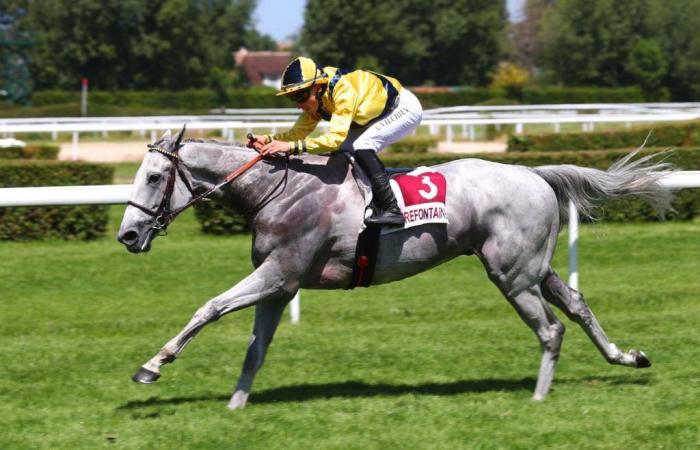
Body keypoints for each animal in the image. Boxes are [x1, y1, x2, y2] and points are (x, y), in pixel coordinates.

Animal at [119, 127, 672, 408]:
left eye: (154, 177)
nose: (127, 235)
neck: (277, 190)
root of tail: (534, 173)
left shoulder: (279, 273)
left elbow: (209, 306)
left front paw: (152, 366)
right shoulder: (281, 285)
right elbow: (255, 348)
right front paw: (236, 405)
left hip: (512, 275)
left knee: (551, 328)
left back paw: (538, 396)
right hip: (531, 266)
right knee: (575, 303)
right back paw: (626, 357)